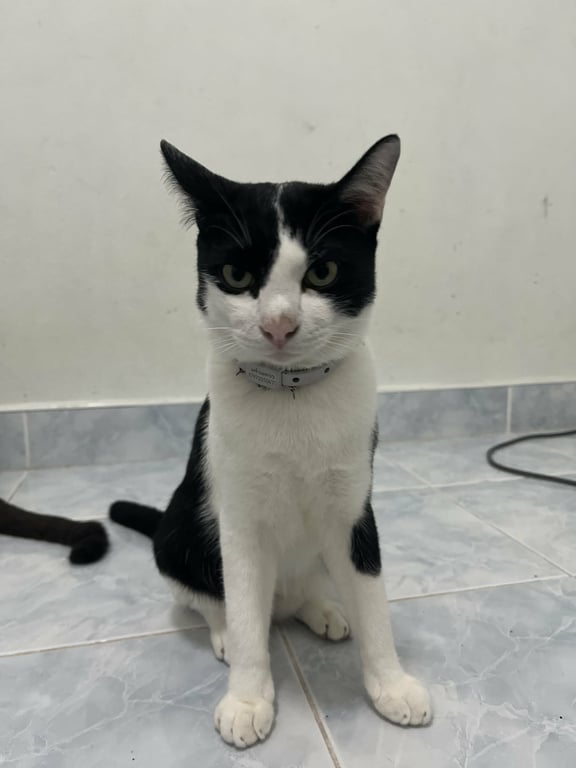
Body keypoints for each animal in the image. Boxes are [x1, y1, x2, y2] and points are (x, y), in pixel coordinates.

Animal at [110, 134, 432, 748]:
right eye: (237, 276)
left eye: (323, 272)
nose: (278, 324)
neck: (292, 397)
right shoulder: (236, 514)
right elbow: (240, 606)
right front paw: (247, 698)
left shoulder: (353, 505)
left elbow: (373, 595)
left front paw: (392, 684)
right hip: (179, 532)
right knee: (211, 599)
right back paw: (226, 636)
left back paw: (323, 609)